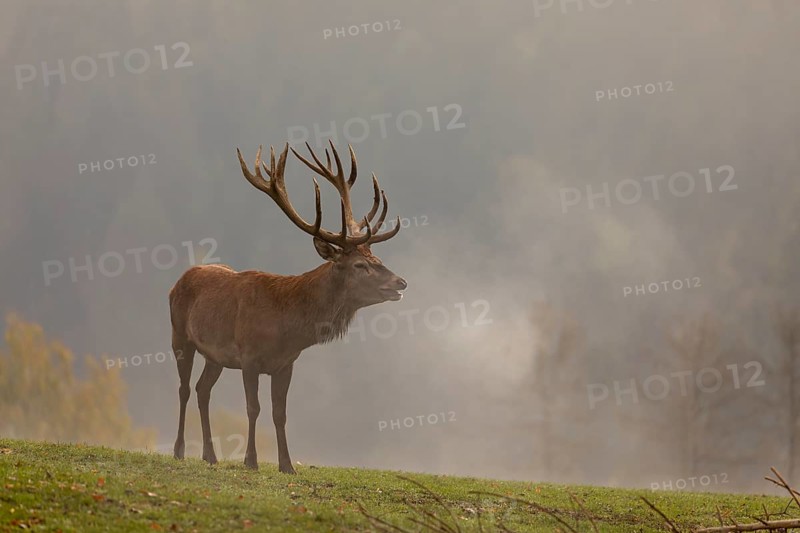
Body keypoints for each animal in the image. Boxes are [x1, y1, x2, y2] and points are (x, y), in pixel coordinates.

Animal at [168, 140, 407, 474]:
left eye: (378, 259)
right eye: (360, 265)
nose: (401, 282)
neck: (286, 326)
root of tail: (180, 279)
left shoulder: (286, 364)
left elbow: (279, 413)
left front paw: (287, 465)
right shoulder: (249, 357)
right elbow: (253, 408)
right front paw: (251, 461)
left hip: (215, 356)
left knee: (204, 390)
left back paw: (210, 455)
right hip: (180, 336)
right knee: (185, 389)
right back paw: (179, 450)